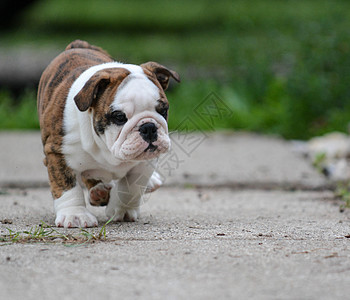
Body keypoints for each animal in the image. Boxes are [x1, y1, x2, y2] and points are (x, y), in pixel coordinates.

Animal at [37, 39, 180, 227]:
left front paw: (122, 210)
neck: (106, 145)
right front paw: (75, 215)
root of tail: (77, 45)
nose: (148, 127)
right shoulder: (57, 153)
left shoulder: (143, 163)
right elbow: (67, 187)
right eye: (119, 117)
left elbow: (131, 188)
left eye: (163, 110)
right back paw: (99, 192)